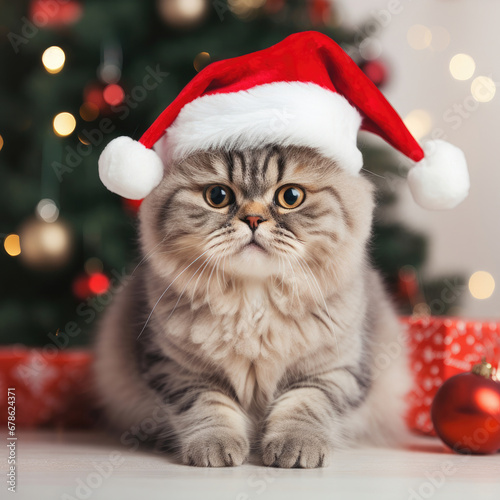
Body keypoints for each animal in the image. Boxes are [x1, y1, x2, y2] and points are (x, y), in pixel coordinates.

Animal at [93, 145, 410, 468]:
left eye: (291, 197)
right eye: (218, 195)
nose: (254, 220)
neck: (254, 302)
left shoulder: (335, 370)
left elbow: (303, 406)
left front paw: (296, 449)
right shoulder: (177, 371)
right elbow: (209, 408)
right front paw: (215, 448)